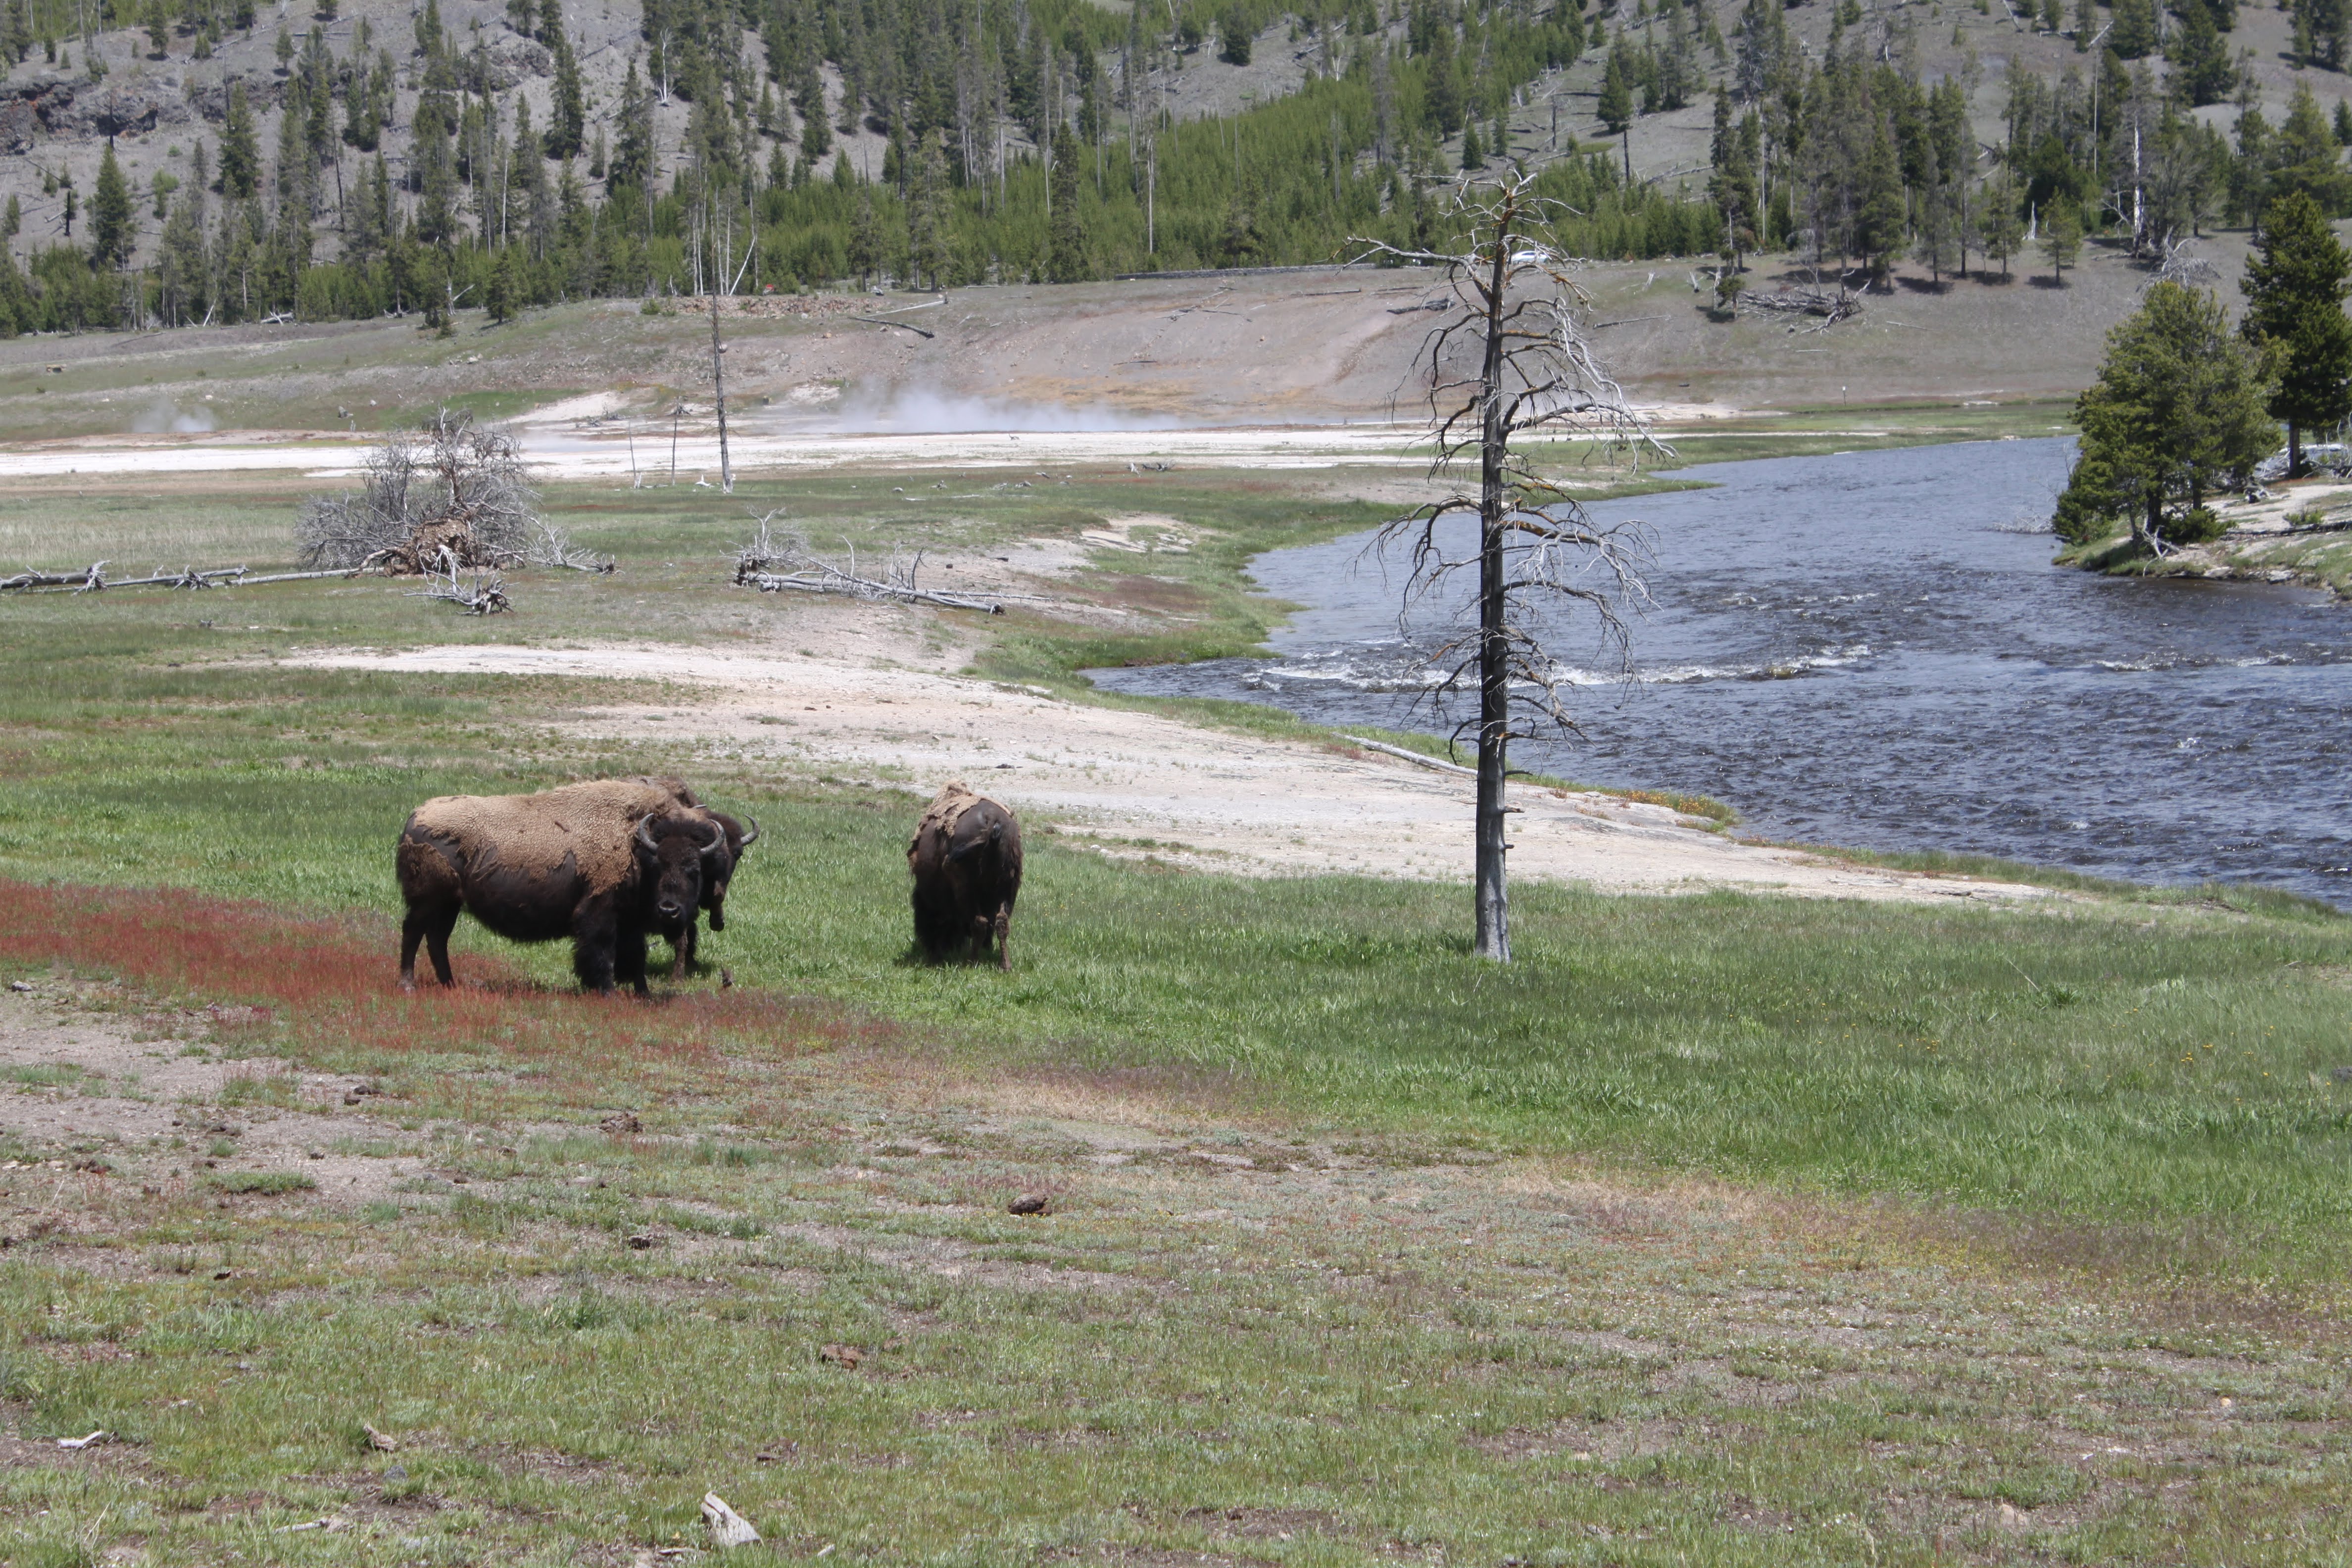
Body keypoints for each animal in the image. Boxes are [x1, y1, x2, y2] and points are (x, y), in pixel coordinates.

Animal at [396, 779, 727, 995]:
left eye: (694, 870)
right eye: (658, 865)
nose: (669, 910)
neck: (636, 845)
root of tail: (414, 817)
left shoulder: (630, 921)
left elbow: (637, 956)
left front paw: (642, 993)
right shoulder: (599, 914)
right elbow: (604, 952)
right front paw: (606, 991)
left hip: (449, 904)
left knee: (437, 939)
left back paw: (450, 985)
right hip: (428, 901)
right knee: (414, 933)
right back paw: (408, 985)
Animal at [908, 782, 1022, 969]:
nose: (930, 948)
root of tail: (991, 820)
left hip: (966, 887)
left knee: (980, 922)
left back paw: (972, 961)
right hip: (1008, 886)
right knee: (1001, 922)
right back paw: (1005, 965)